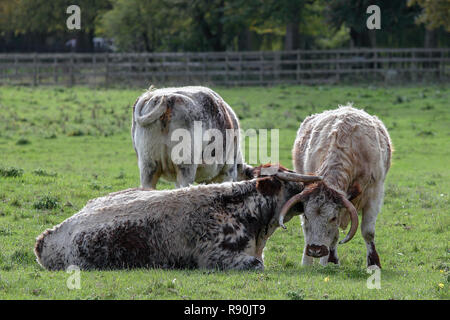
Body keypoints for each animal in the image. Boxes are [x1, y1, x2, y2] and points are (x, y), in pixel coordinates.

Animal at [282, 105, 394, 268]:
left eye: (333, 218)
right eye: (308, 216)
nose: (315, 250)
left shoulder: (374, 194)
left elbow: (368, 232)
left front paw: (373, 263)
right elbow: (333, 235)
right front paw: (330, 261)